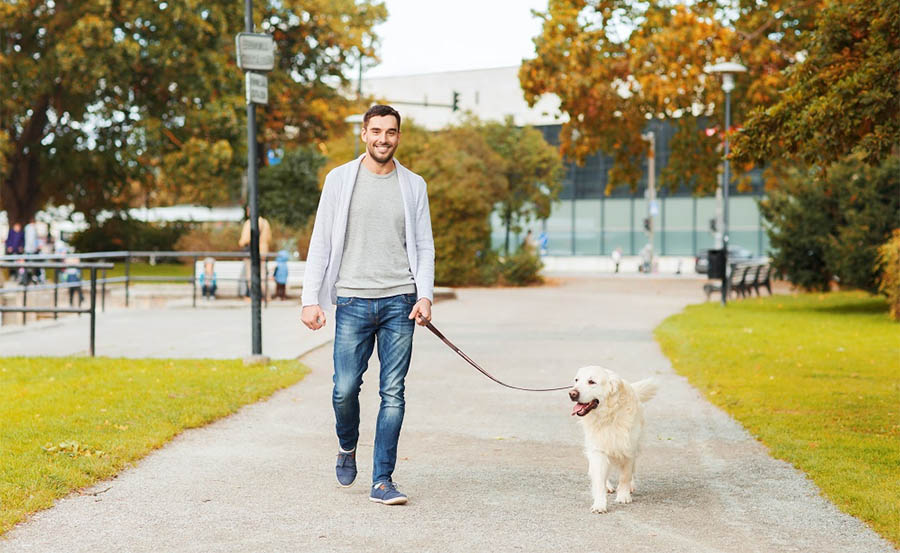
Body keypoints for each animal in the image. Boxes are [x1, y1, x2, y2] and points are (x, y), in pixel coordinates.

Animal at [568, 364, 660, 512]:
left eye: (591, 382)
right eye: (576, 380)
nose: (572, 394)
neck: (608, 415)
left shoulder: (628, 448)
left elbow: (625, 476)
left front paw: (623, 496)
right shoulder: (598, 449)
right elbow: (599, 479)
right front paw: (599, 504)